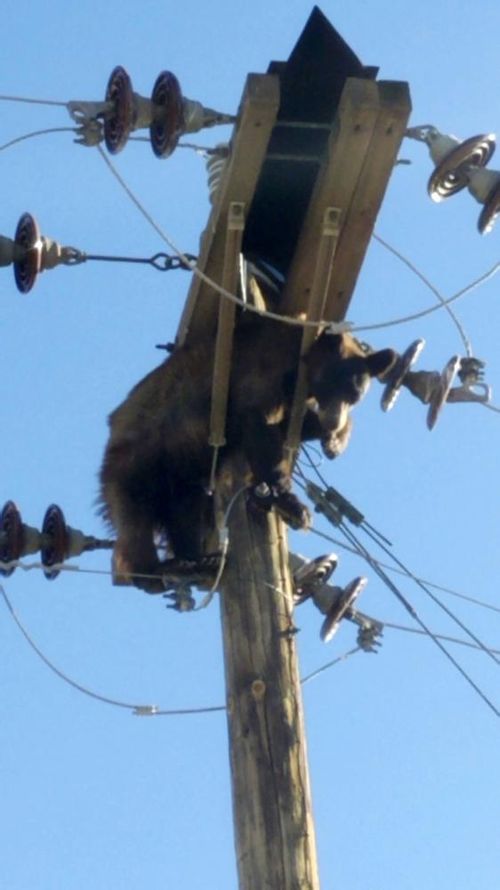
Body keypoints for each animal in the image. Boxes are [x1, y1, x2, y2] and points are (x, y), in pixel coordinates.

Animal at [97, 312, 394, 588]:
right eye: (335, 384)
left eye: (354, 396)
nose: (333, 422)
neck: (299, 363)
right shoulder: (262, 369)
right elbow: (259, 425)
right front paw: (289, 501)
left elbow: (287, 424)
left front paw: (335, 440)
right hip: (137, 464)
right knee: (135, 522)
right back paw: (153, 572)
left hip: (180, 474)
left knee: (185, 511)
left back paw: (194, 561)